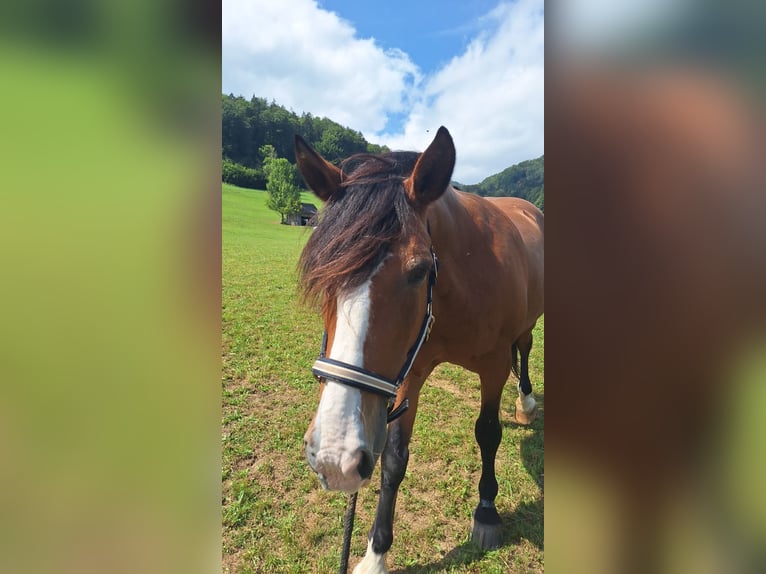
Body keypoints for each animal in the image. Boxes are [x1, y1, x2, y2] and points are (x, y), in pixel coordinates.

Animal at [296, 128, 544, 572]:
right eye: (322, 272)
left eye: (418, 272)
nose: (334, 456)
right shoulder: (409, 370)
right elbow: (394, 458)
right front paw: (375, 553)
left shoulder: (495, 366)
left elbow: (488, 433)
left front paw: (486, 512)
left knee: (527, 348)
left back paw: (526, 402)